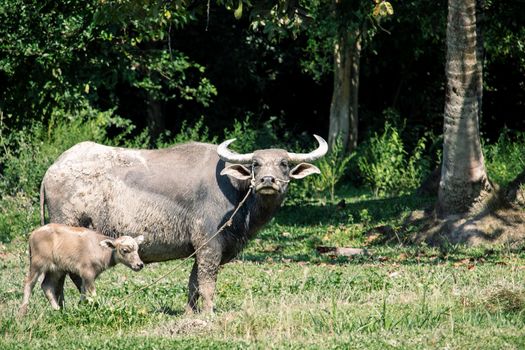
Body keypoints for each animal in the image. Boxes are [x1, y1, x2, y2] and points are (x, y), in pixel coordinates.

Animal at [41, 135, 326, 314]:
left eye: (283, 163)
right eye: (256, 164)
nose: (268, 180)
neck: (236, 193)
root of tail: (52, 170)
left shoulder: (199, 251)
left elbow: (193, 283)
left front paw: (190, 313)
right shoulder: (209, 246)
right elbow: (207, 284)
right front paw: (209, 314)